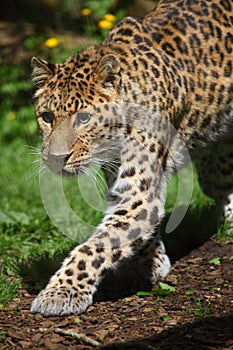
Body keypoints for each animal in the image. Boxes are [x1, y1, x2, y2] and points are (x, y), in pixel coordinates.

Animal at [30, 0, 233, 318]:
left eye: (84, 118)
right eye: (47, 117)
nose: (56, 158)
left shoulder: (137, 193)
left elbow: (92, 248)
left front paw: (60, 293)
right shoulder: (124, 184)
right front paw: (152, 260)